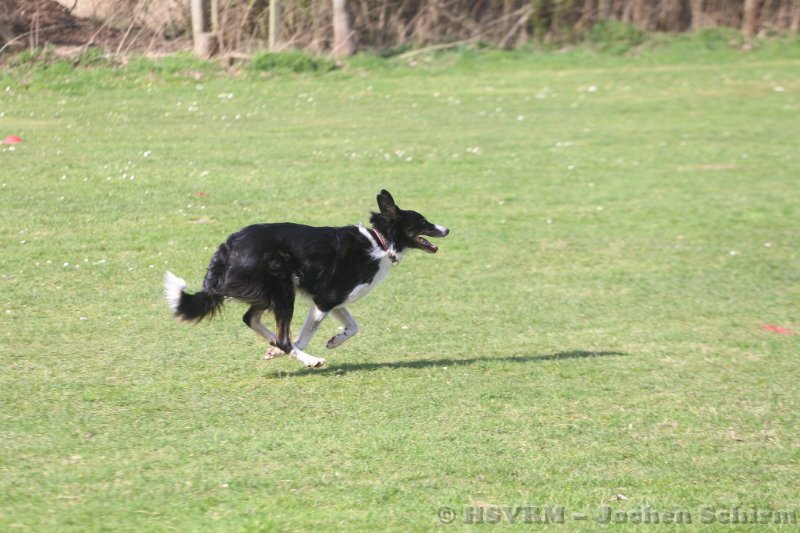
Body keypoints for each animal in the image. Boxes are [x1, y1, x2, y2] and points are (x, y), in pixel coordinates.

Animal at [164, 190, 449, 368]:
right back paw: (309, 359)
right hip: (282, 289)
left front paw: (335, 340)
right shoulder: (325, 300)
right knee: (283, 337)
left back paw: (273, 344)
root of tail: (227, 248)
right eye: (424, 221)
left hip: (268, 292)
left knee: (250, 319)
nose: (447, 229)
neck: (380, 241)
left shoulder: (334, 300)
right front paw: (291, 353)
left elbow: (353, 326)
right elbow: (302, 336)